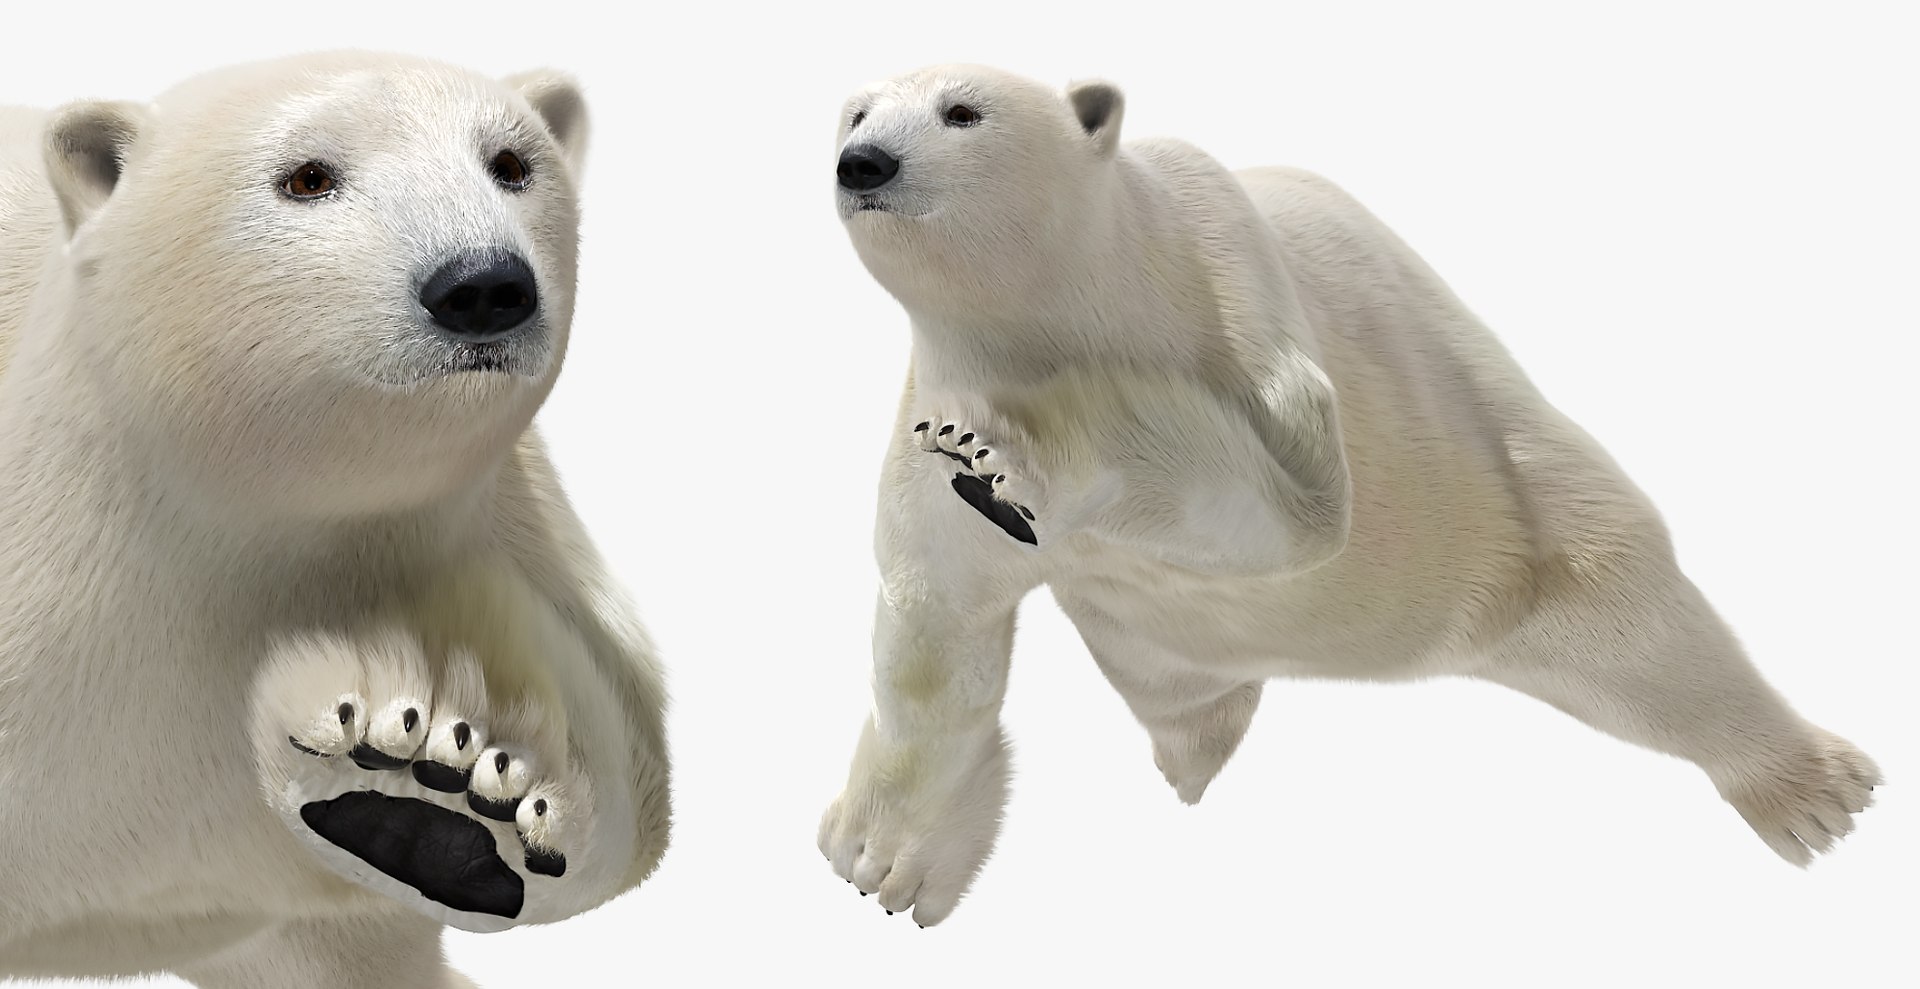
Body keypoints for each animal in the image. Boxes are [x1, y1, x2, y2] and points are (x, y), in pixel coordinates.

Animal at [0, 54, 669, 986]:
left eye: (510, 162)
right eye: (307, 177)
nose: (482, 285)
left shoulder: (504, 535)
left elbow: (632, 747)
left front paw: (448, 779)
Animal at [815, 64, 1881, 927]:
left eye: (962, 110)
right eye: (856, 110)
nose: (862, 163)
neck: (1081, 306)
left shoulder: (1234, 301)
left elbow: (1287, 503)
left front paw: (1011, 464)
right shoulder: (930, 400)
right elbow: (936, 628)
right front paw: (877, 861)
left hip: (1513, 508)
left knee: (1649, 644)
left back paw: (1815, 796)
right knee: (1187, 693)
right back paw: (1194, 756)